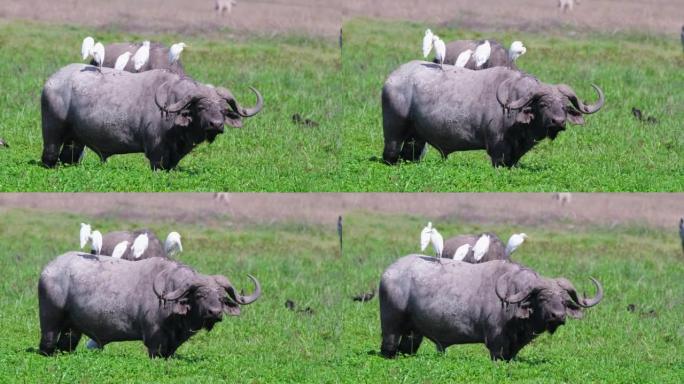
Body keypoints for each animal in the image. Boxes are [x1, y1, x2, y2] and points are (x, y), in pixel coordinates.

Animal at [38, 254, 262, 358]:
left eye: (221, 297)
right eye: (200, 295)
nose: (214, 312)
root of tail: (49, 269)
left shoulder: (172, 345)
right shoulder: (154, 341)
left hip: (72, 328)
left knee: (66, 344)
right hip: (50, 321)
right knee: (47, 342)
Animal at [41, 63, 264, 169]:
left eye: (222, 109)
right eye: (201, 107)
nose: (216, 124)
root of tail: (52, 81)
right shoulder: (156, 153)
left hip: (76, 140)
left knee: (69, 157)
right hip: (52, 132)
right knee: (49, 155)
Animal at [380, 255, 604, 360]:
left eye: (563, 300)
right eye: (542, 298)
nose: (558, 316)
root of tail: (388, 272)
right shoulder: (496, 342)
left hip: (413, 333)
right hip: (391, 326)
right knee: (388, 346)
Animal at [384, 61, 604, 166]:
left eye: (564, 105)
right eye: (543, 104)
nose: (558, 122)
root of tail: (392, 78)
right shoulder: (497, 149)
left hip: (416, 137)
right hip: (394, 130)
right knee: (391, 152)